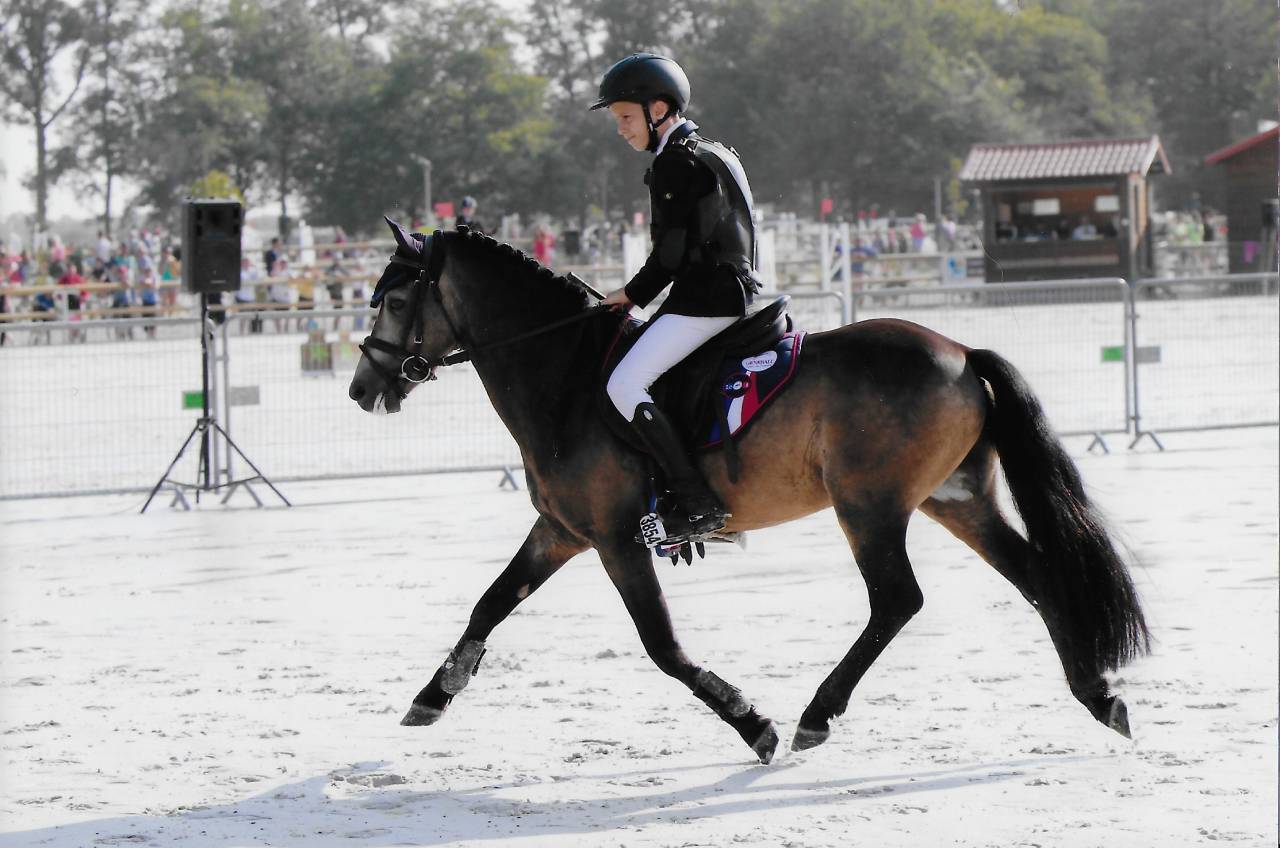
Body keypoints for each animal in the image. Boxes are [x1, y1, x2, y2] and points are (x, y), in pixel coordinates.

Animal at [348, 220, 1150, 764]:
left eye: (394, 301)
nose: (361, 390)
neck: (564, 376)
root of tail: (959, 352)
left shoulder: (615, 540)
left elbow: (664, 647)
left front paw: (751, 722)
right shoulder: (562, 532)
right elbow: (490, 602)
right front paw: (434, 693)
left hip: (869, 507)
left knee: (898, 600)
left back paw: (816, 715)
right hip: (956, 500)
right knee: (1037, 576)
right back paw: (1098, 695)